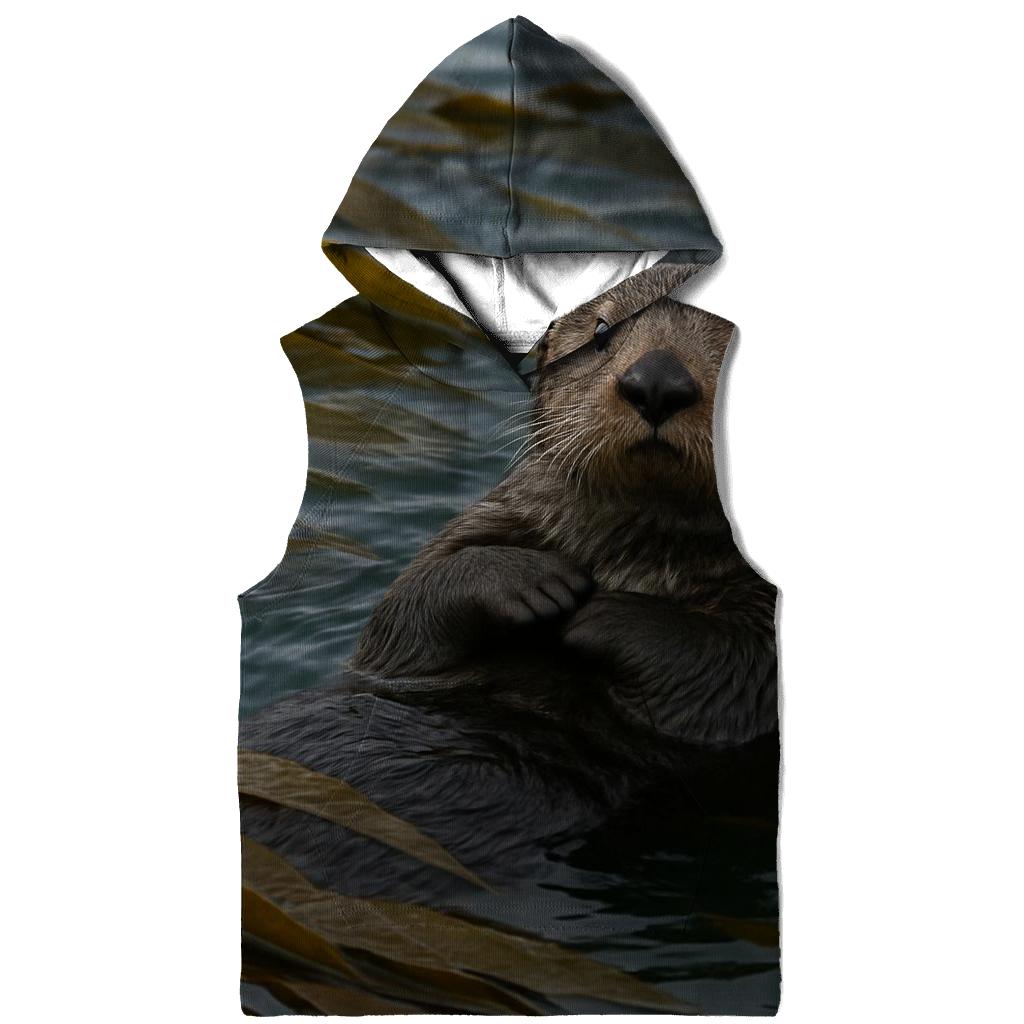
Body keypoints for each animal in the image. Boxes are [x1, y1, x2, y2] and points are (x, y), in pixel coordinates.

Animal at [240, 265, 778, 898]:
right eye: (601, 332)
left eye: (725, 339)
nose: (656, 382)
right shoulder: (487, 528)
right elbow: (405, 614)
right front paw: (540, 584)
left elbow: (732, 670)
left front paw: (595, 616)